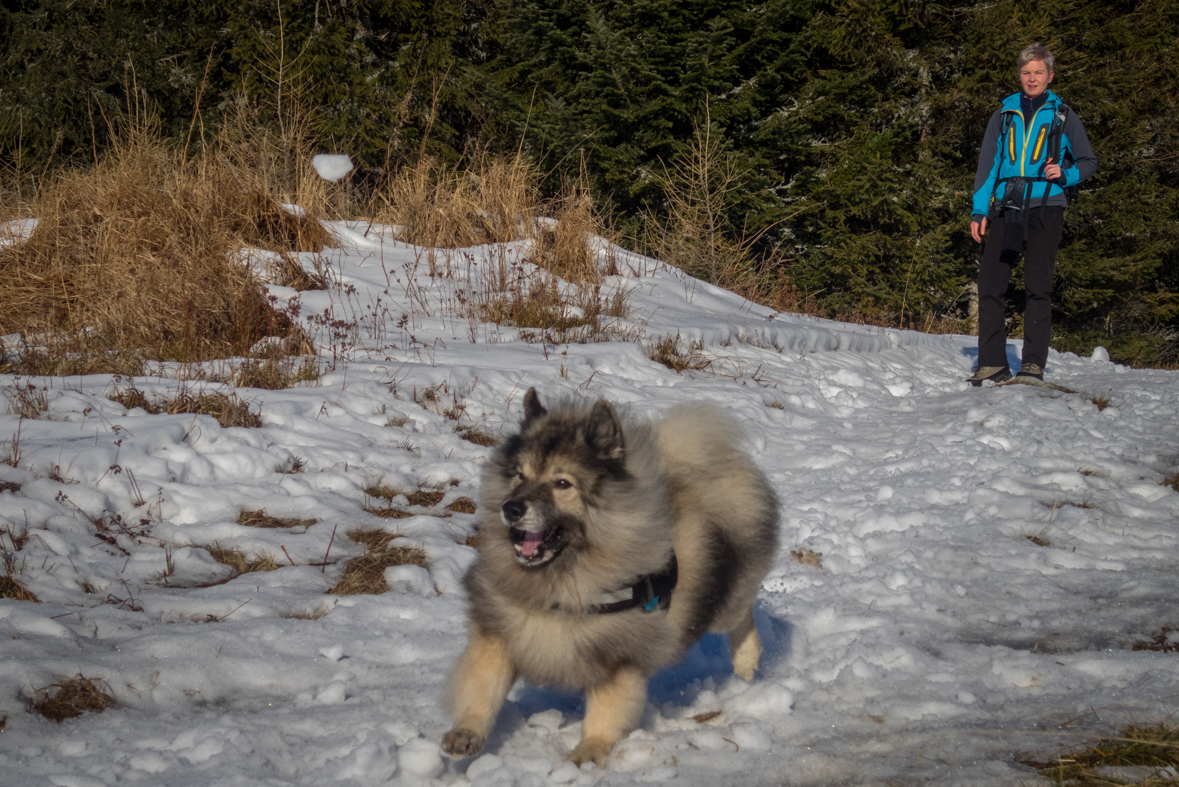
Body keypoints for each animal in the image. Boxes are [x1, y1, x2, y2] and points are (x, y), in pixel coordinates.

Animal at [438, 391, 778, 763]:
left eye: (562, 483)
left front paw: (587, 752)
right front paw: (466, 733)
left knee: (742, 614)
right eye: (519, 475)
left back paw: (746, 663)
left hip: (723, 602)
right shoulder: (500, 633)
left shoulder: (618, 658)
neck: (562, 579)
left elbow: (606, 714)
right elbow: (483, 689)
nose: (511, 508)